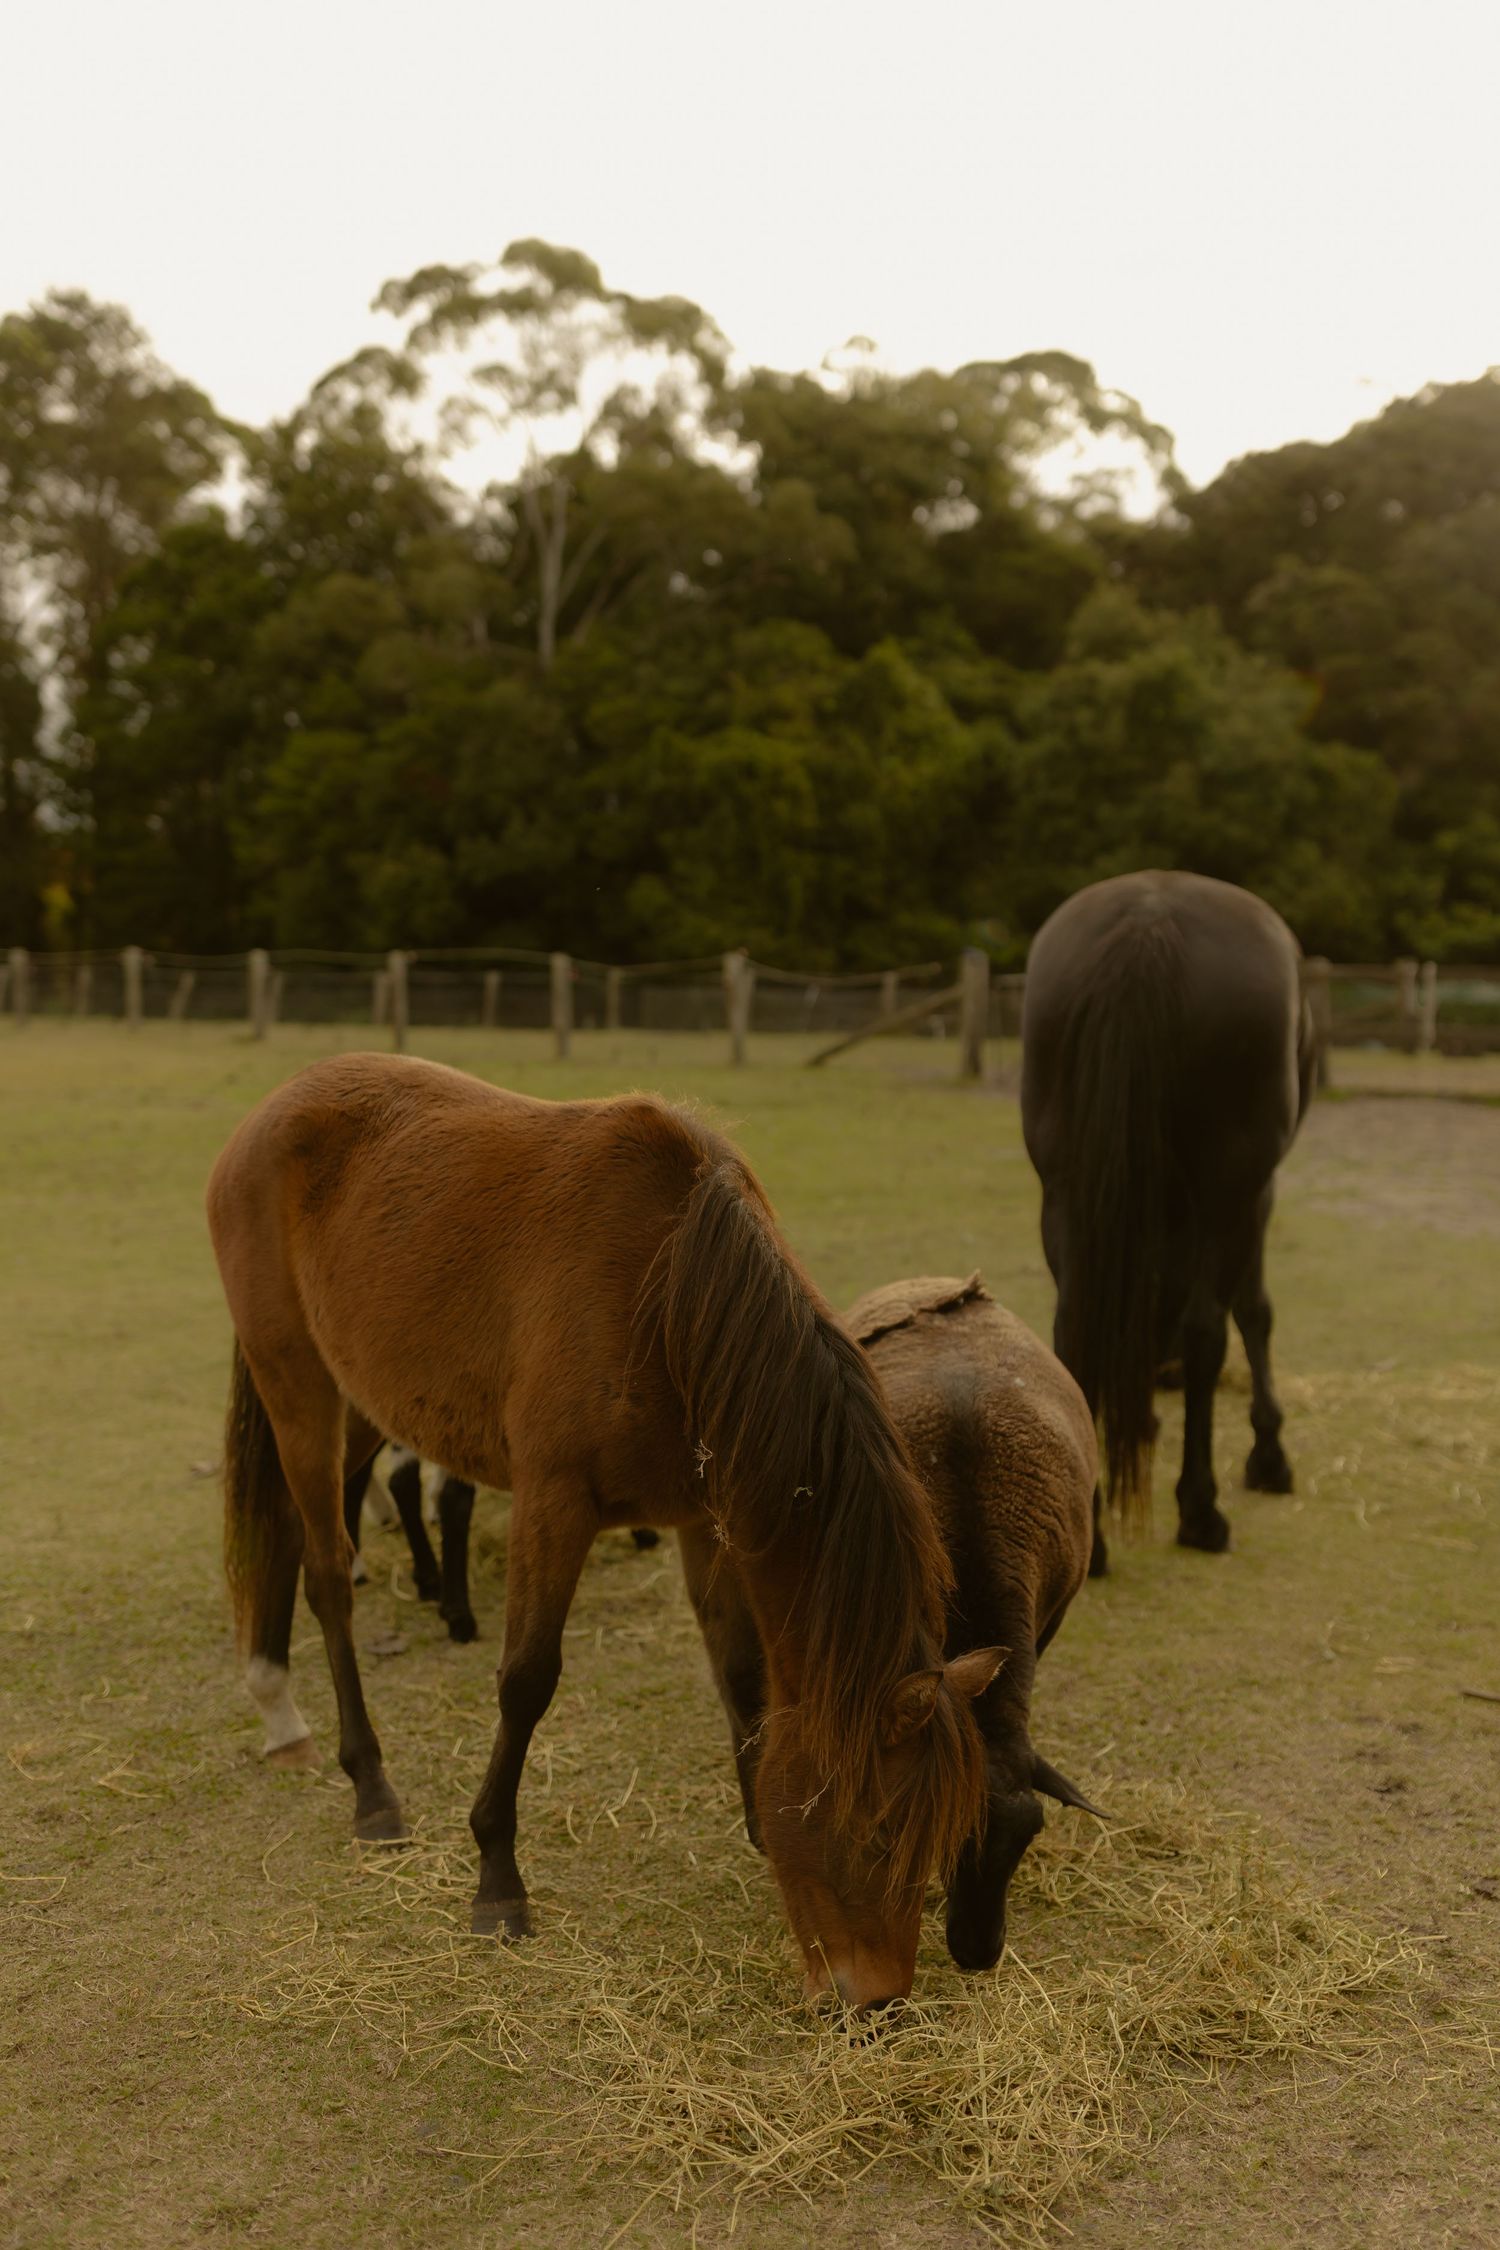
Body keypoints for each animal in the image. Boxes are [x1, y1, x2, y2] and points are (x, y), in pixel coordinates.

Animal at [206, 1052, 999, 2010]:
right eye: (877, 1830)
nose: (877, 2000)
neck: (672, 1298)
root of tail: (272, 1107)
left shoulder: (706, 1517)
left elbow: (738, 1671)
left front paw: (755, 1827)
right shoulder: (554, 1501)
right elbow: (526, 1680)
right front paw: (497, 1876)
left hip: (361, 1397)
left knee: (292, 1538)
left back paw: (281, 1709)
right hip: (297, 1384)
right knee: (326, 1571)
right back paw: (370, 1785)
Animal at [1020, 870, 1316, 1564]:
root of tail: (1147, 928)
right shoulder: (1255, 1196)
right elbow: (1254, 1312)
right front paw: (1269, 1455)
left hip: (1066, 1191)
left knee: (1074, 1329)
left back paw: (1094, 1534)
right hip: (1231, 1189)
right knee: (1209, 1329)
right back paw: (1201, 1511)